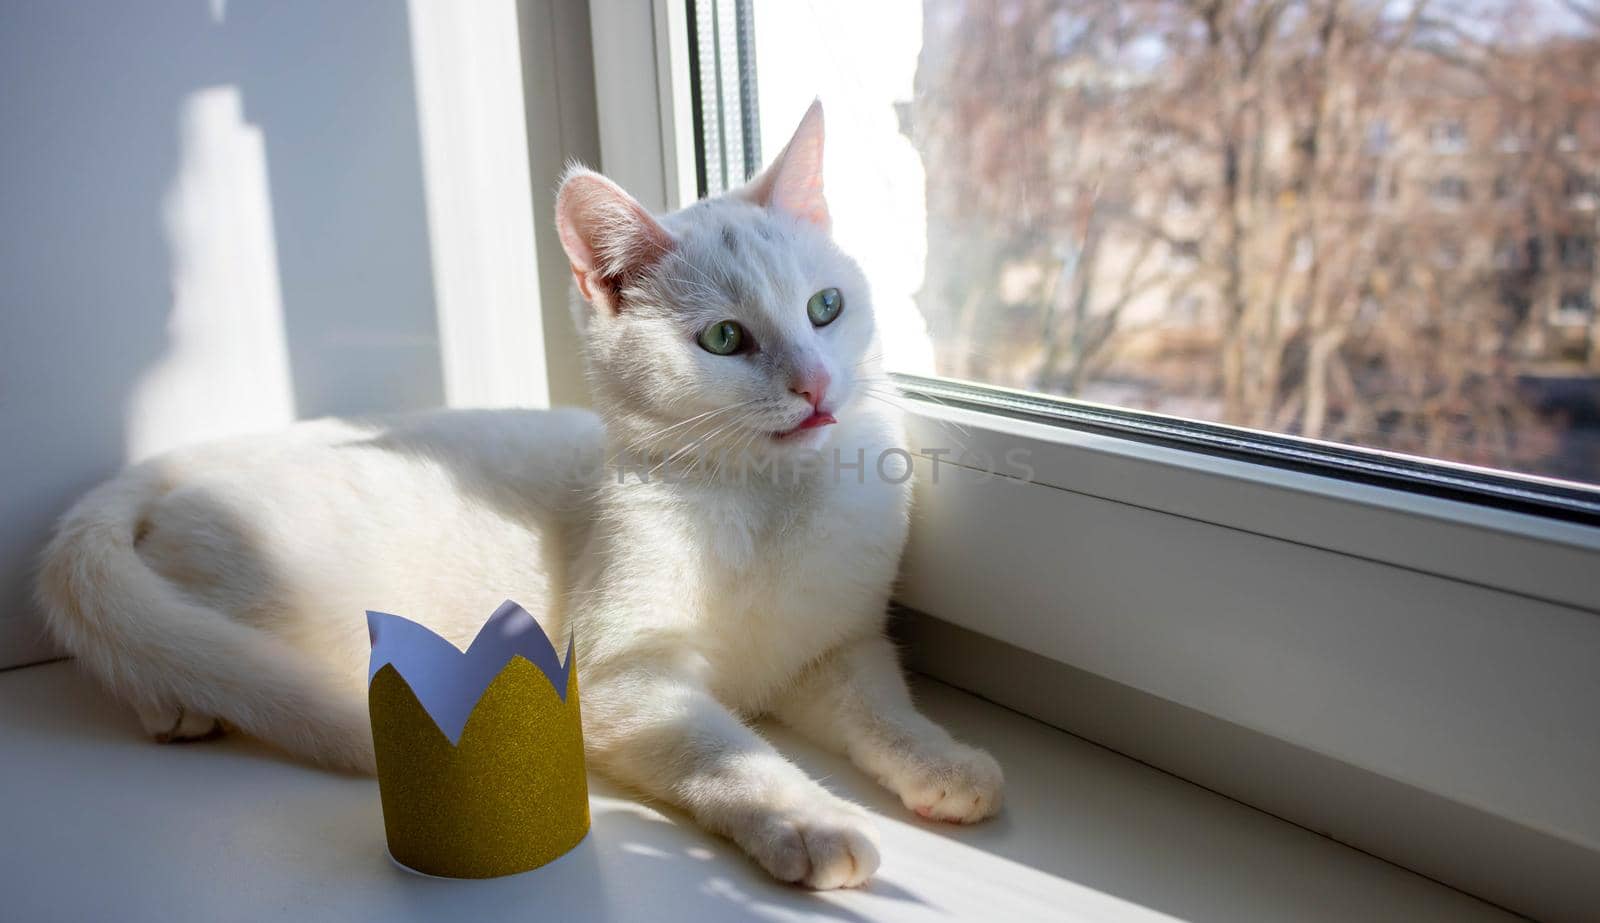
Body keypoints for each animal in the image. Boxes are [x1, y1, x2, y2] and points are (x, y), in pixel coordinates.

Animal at [37, 103, 998, 889]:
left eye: (826, 307)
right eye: (725, 339)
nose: (816, 385)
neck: (765, 503)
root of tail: (179, 460)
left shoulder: (835, 649)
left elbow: (883, 709)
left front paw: (942, 762)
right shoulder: (623, 680)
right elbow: (729, 751)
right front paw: (812, 819)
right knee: (176, 640)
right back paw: (181, 701)